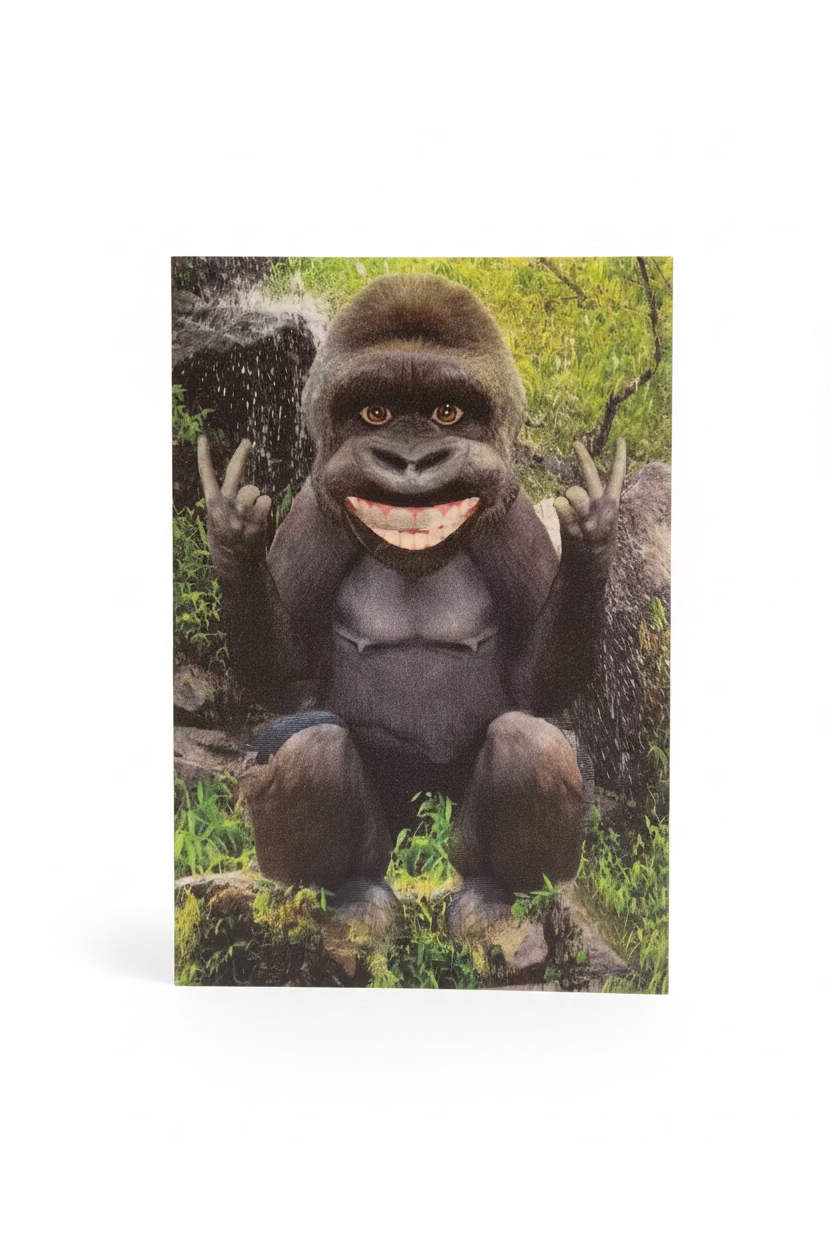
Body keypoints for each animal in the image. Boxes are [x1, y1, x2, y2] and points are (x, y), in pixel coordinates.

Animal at [196, 273, 626, 936]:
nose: (411, 462)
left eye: (448, 413)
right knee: (314, 752)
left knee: (531, 747)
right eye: (376, 413)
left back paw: (495, 897)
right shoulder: (316, 506)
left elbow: (534, 689)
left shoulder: (509, 508)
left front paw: (593, 534)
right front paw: (232, 534)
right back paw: (345, 895)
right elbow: (286, 684)